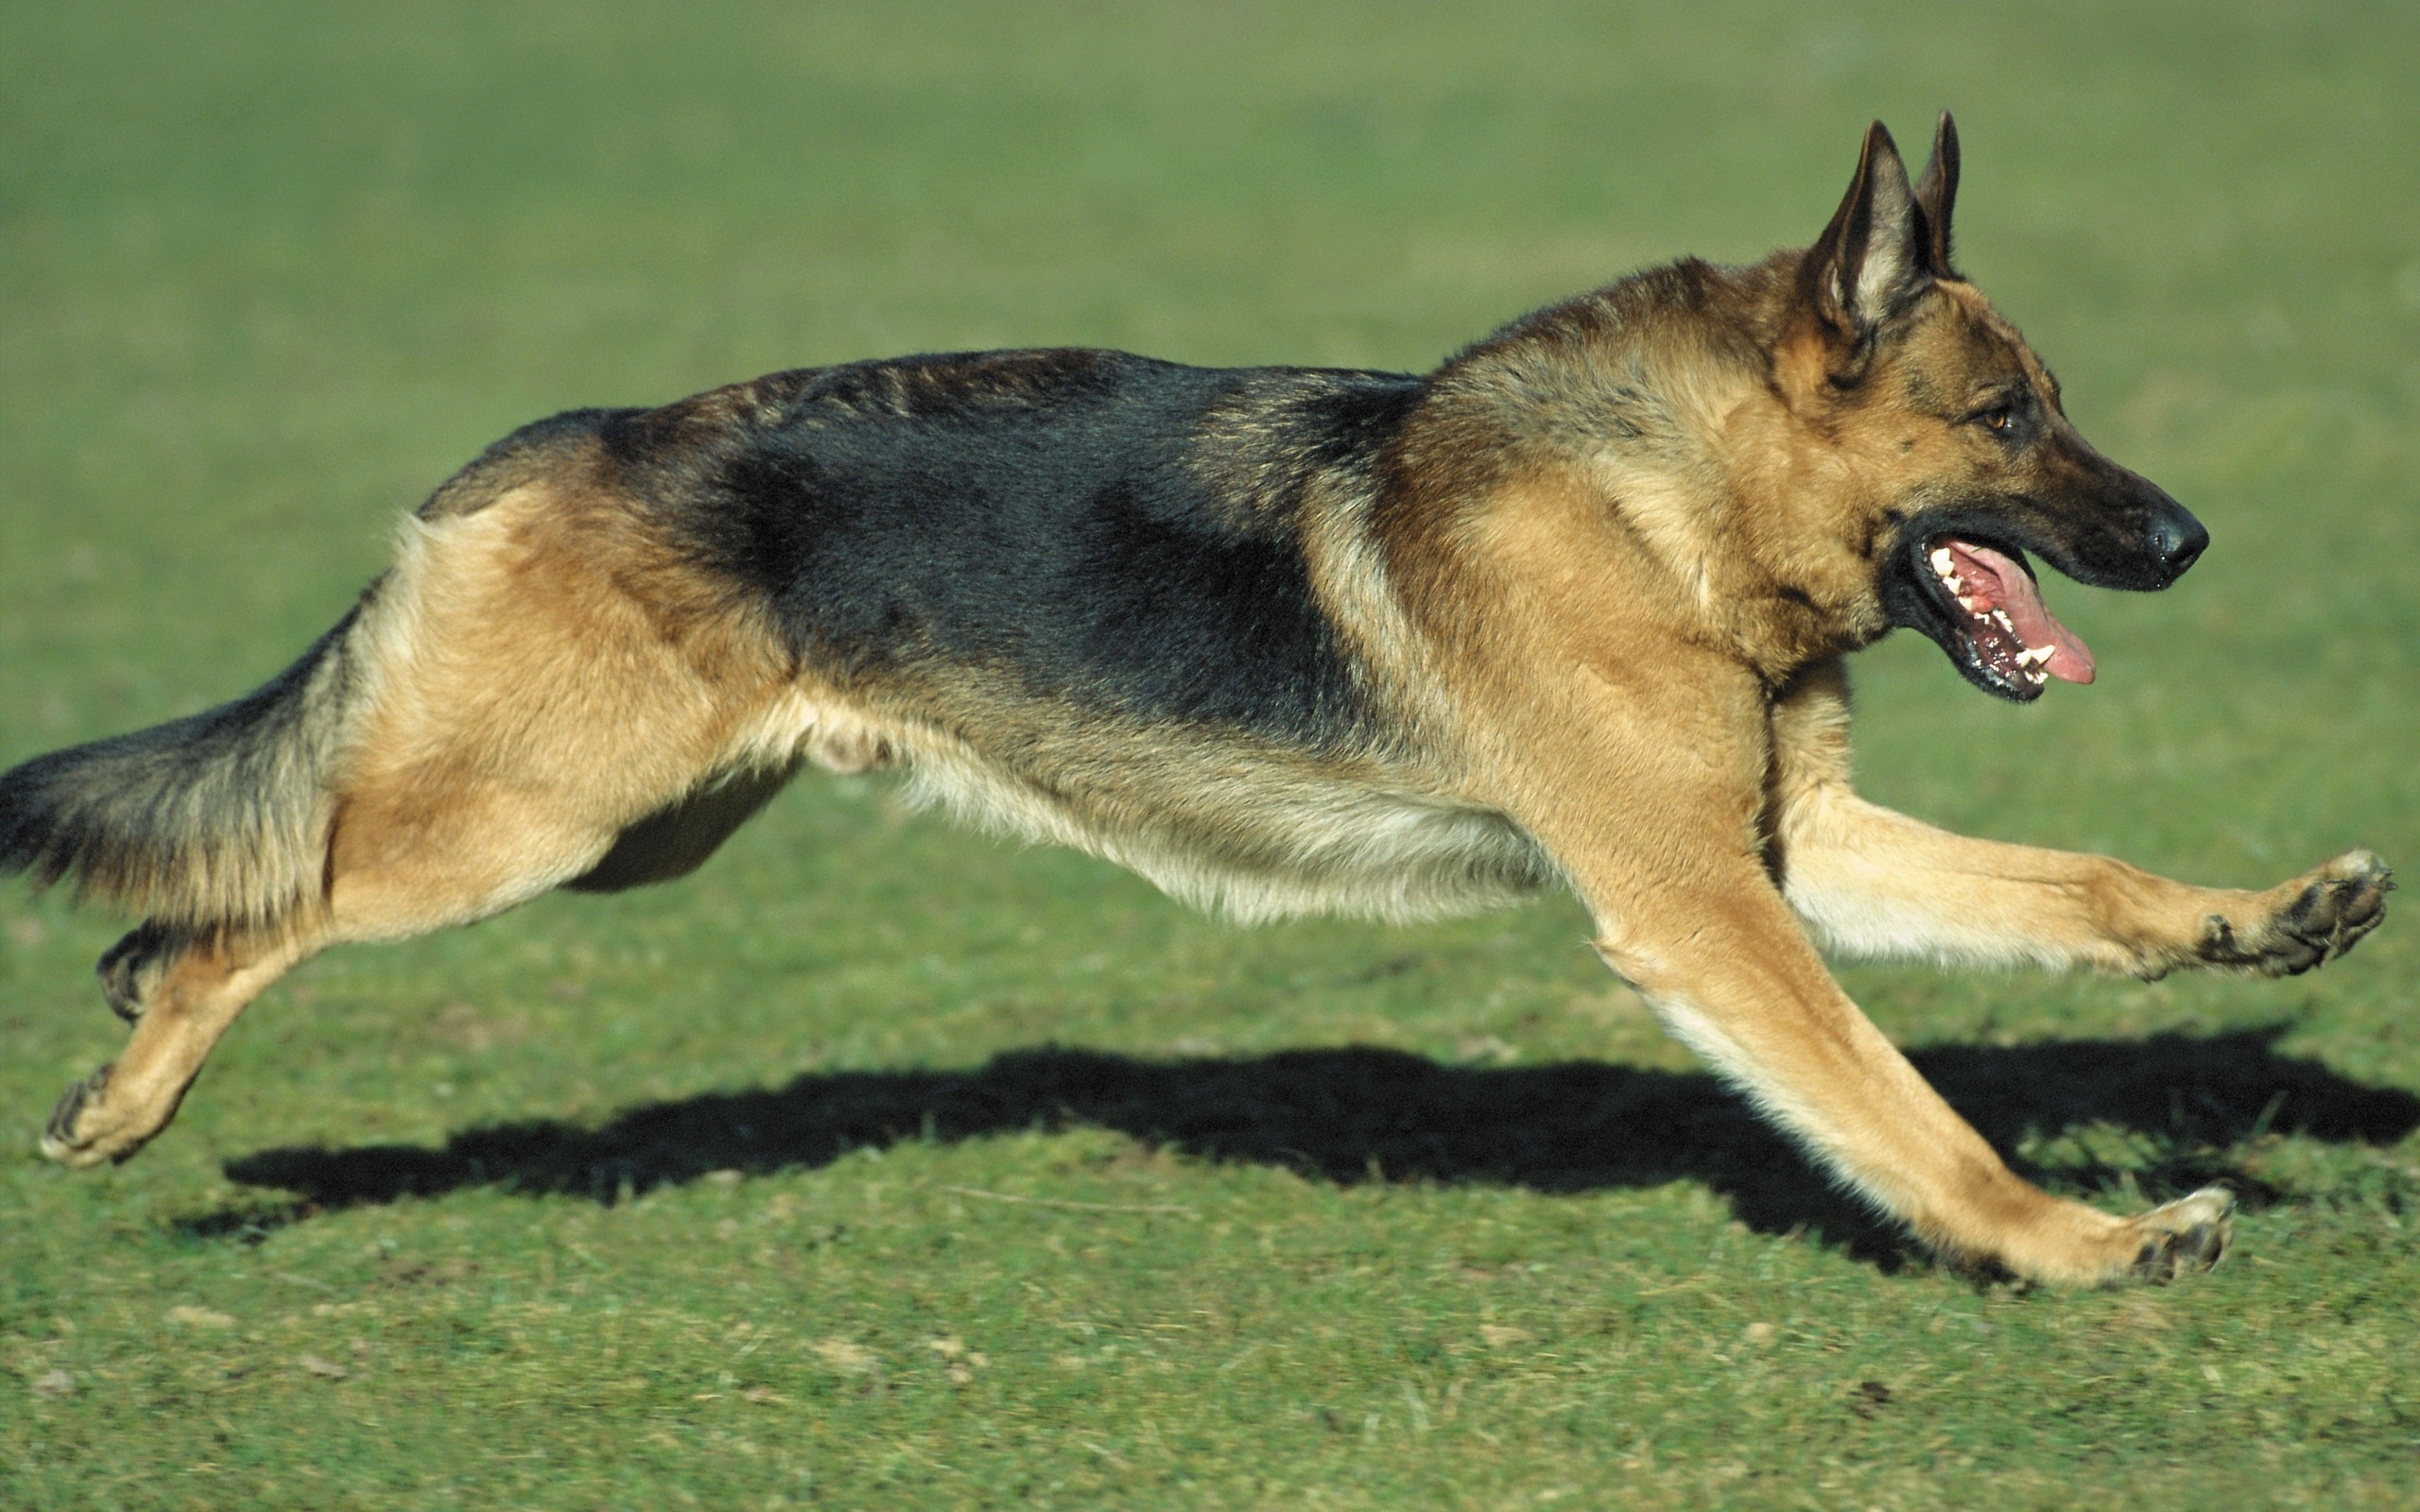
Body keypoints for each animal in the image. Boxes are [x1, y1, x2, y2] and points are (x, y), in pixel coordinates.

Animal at [0, 114, 2381, 1286]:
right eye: (2008, 417)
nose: (2185, 540)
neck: (1658, 506)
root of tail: (548, 439)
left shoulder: (1795, 851)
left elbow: (2082, 880)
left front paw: (2257, 921)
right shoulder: (1705, 907)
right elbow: (1908, 1113)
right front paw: (2072, 1245)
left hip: (628, 835)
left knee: (226, 891)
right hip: (526, 830)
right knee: (247, 902)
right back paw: (124, 1096)